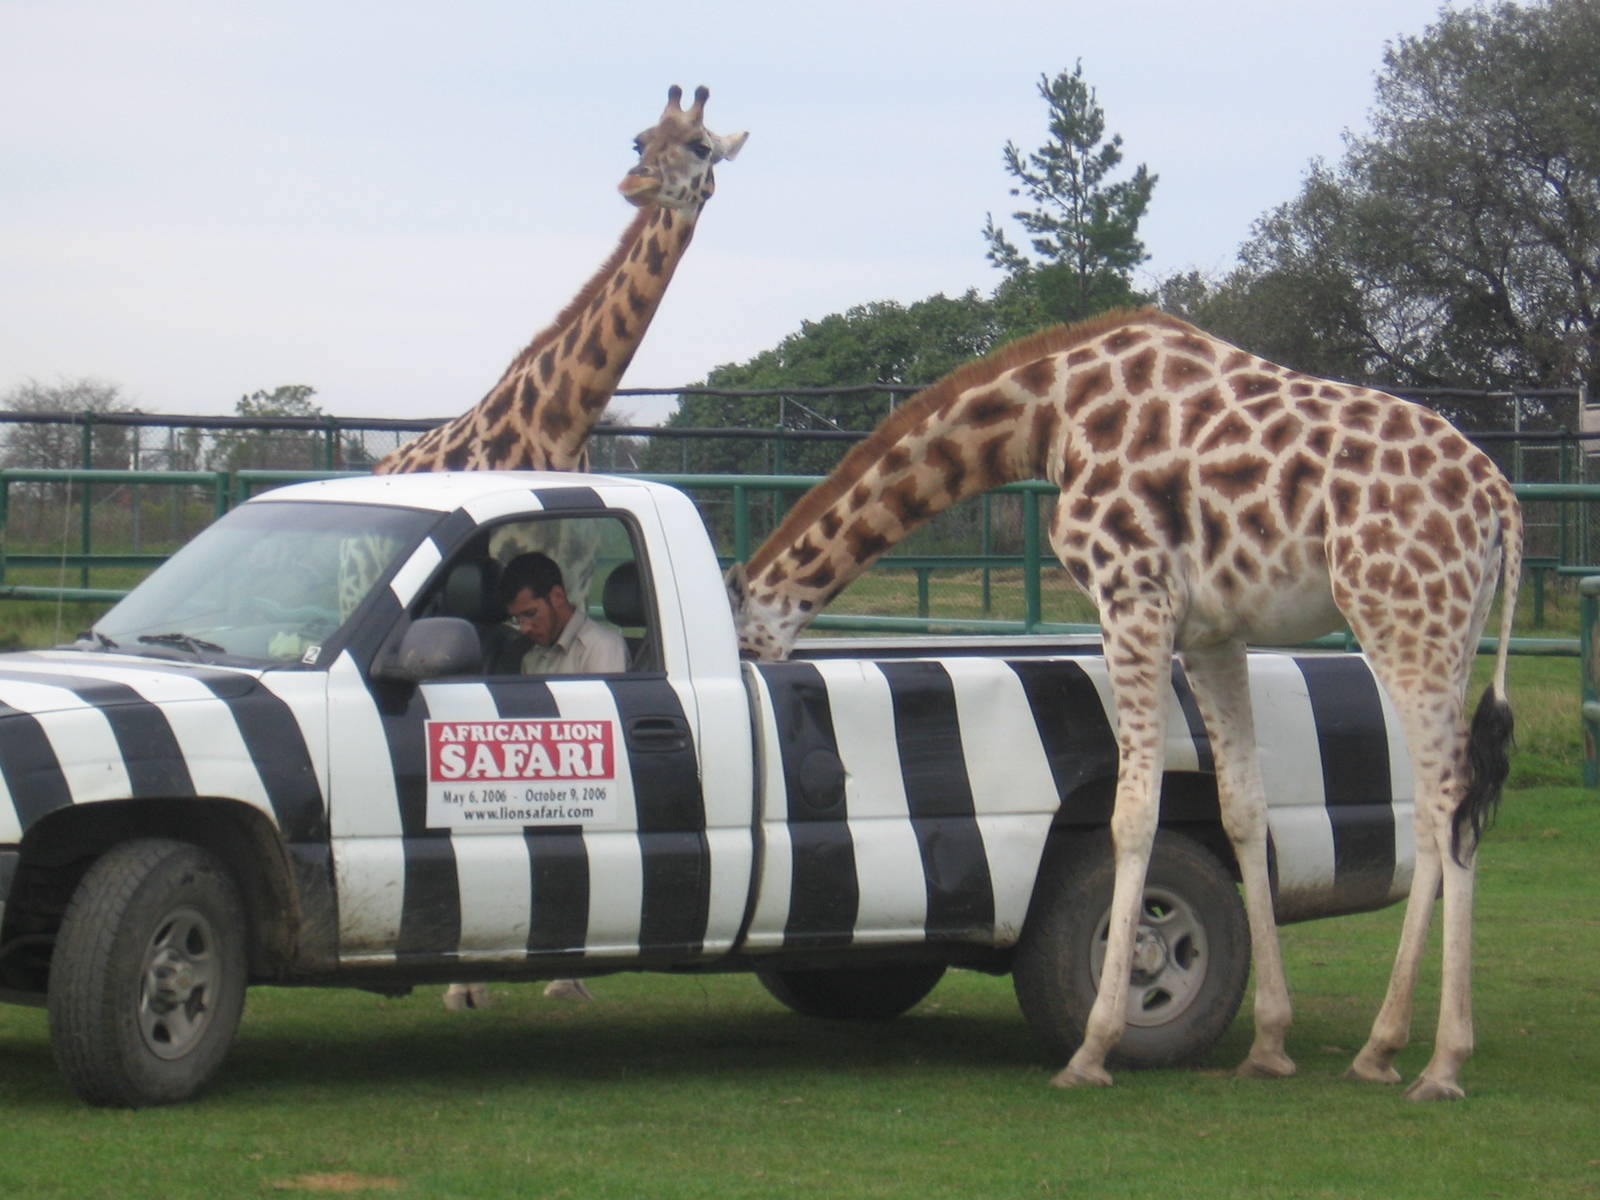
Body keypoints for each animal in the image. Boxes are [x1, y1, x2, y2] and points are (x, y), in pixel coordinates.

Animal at [726, 308, 1521, 1101]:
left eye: (740, 649)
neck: (1049, 412)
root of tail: (1500, 501)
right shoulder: (1213, 634)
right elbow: (1243, 807)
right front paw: (1268, 1041)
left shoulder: (1133, 597)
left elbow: (1133, 813)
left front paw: (1094, 1044)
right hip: (1451, 630)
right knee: (1441, 811)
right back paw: (1381, 1049)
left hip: (1398, 615)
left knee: (1447, 795)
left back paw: (1441, 1061)